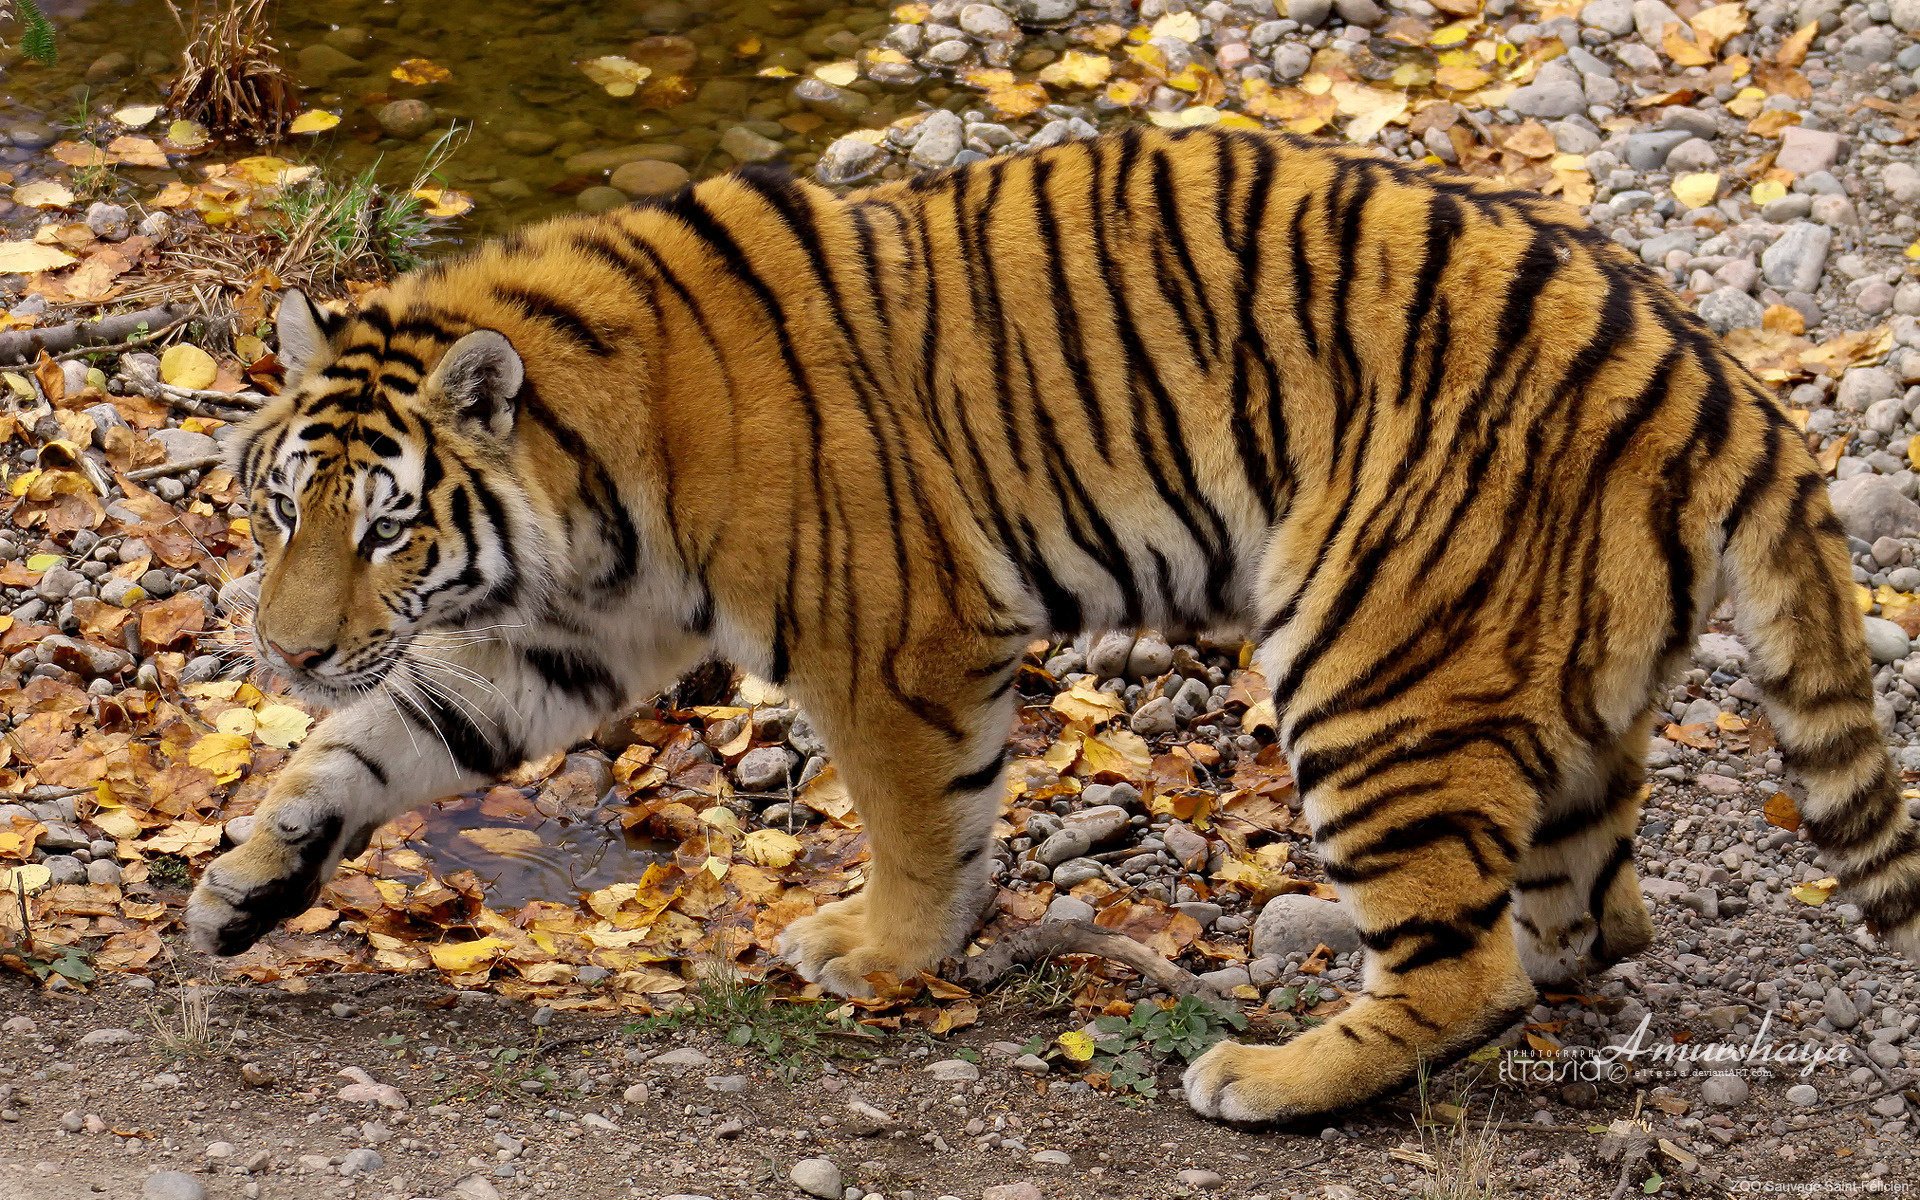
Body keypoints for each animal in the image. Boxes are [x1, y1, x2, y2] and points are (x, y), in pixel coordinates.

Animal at [183, 123, 1920, 1121]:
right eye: (280, 510)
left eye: (389, 525)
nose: (283, 648)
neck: (591, 472)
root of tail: (1720, 379)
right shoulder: (566, 641)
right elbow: (375, 745)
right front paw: (241, 886)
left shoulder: (893, 640)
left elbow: (917, 825)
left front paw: (877, 953)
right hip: (1551, 687)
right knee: (1588, 920)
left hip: (1370, 662)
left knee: (1466, 967)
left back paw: (1266, 1078)